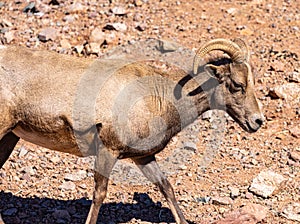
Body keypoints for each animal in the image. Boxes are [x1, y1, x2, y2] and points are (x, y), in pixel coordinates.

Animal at [0, 39, 262, 223]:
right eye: (237, 85)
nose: (257, 121)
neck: (159, 96)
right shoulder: (108, 151)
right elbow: (100, 194)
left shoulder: (144, 158)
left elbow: (166, 187)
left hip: (9, 138)